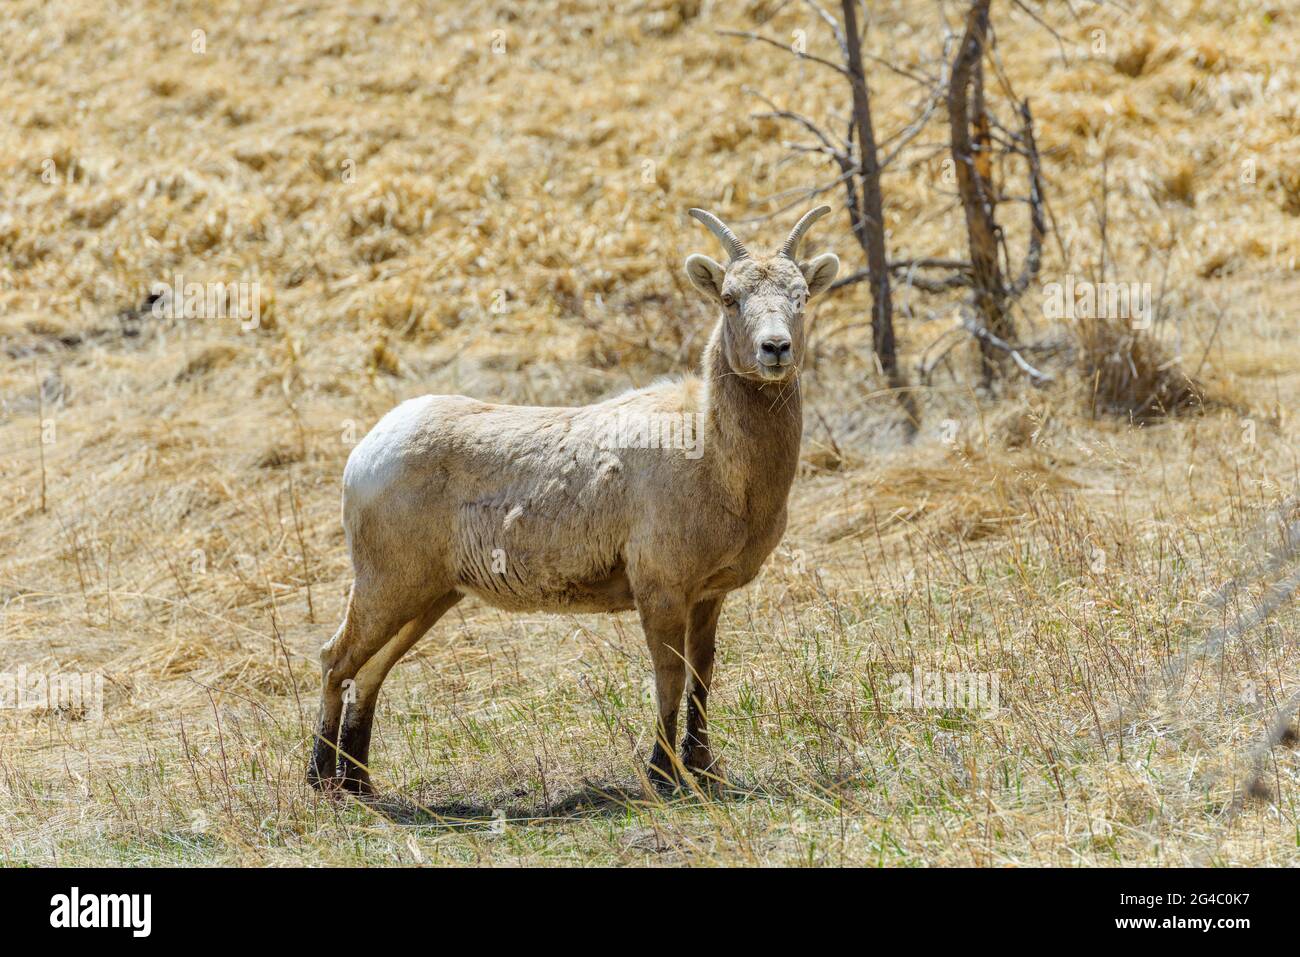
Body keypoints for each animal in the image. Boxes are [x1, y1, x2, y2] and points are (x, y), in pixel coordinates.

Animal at [309, 204, 837, 790]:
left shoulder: (707, 594)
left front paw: (705, 770)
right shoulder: (660, 588)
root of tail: (364, 452)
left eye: (801, 296)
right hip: (386, 584)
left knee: (370, 672)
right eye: (729, 297)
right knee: (335, 659)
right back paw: (322, 782)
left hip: (429, 595)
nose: (775, 349)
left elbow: (702, 676)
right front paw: (662, 777)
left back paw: (359, 783)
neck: (713, 454)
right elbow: (670, 679)